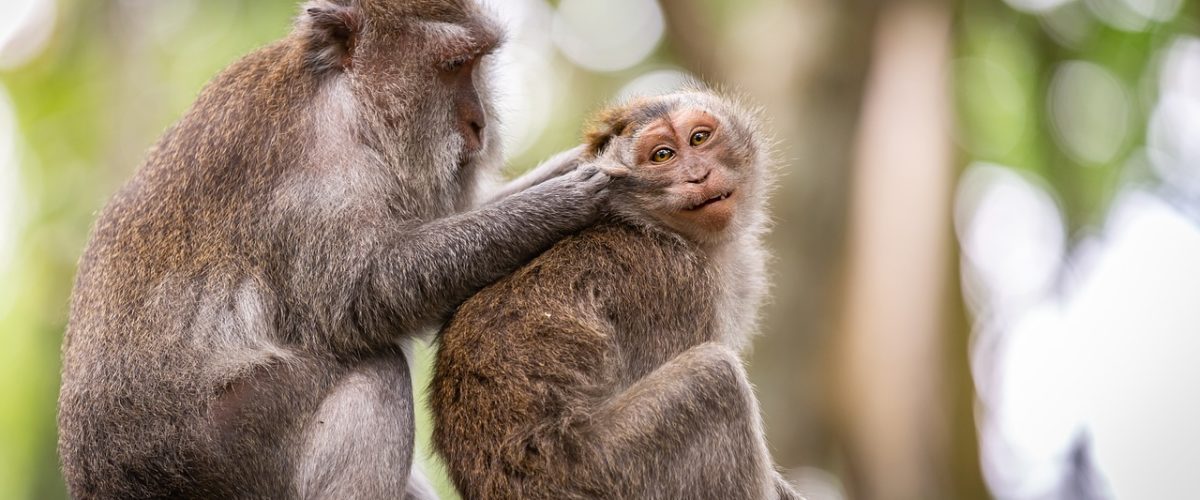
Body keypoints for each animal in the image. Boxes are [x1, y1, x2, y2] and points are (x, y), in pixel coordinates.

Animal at [54, 1, 619, 496]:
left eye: (477, 64)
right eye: (455, 65)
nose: (478, 123)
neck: (345, 95)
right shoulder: (317, 173)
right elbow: (369, 291)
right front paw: (564, 201)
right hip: (221, 451)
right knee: (377, 370)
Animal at [427, 90, 801, 498]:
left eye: (699, 138)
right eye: (663, 155)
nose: (698, 176)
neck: (655, 227)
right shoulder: (677, 286)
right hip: (602, 471)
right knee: (715, 377)